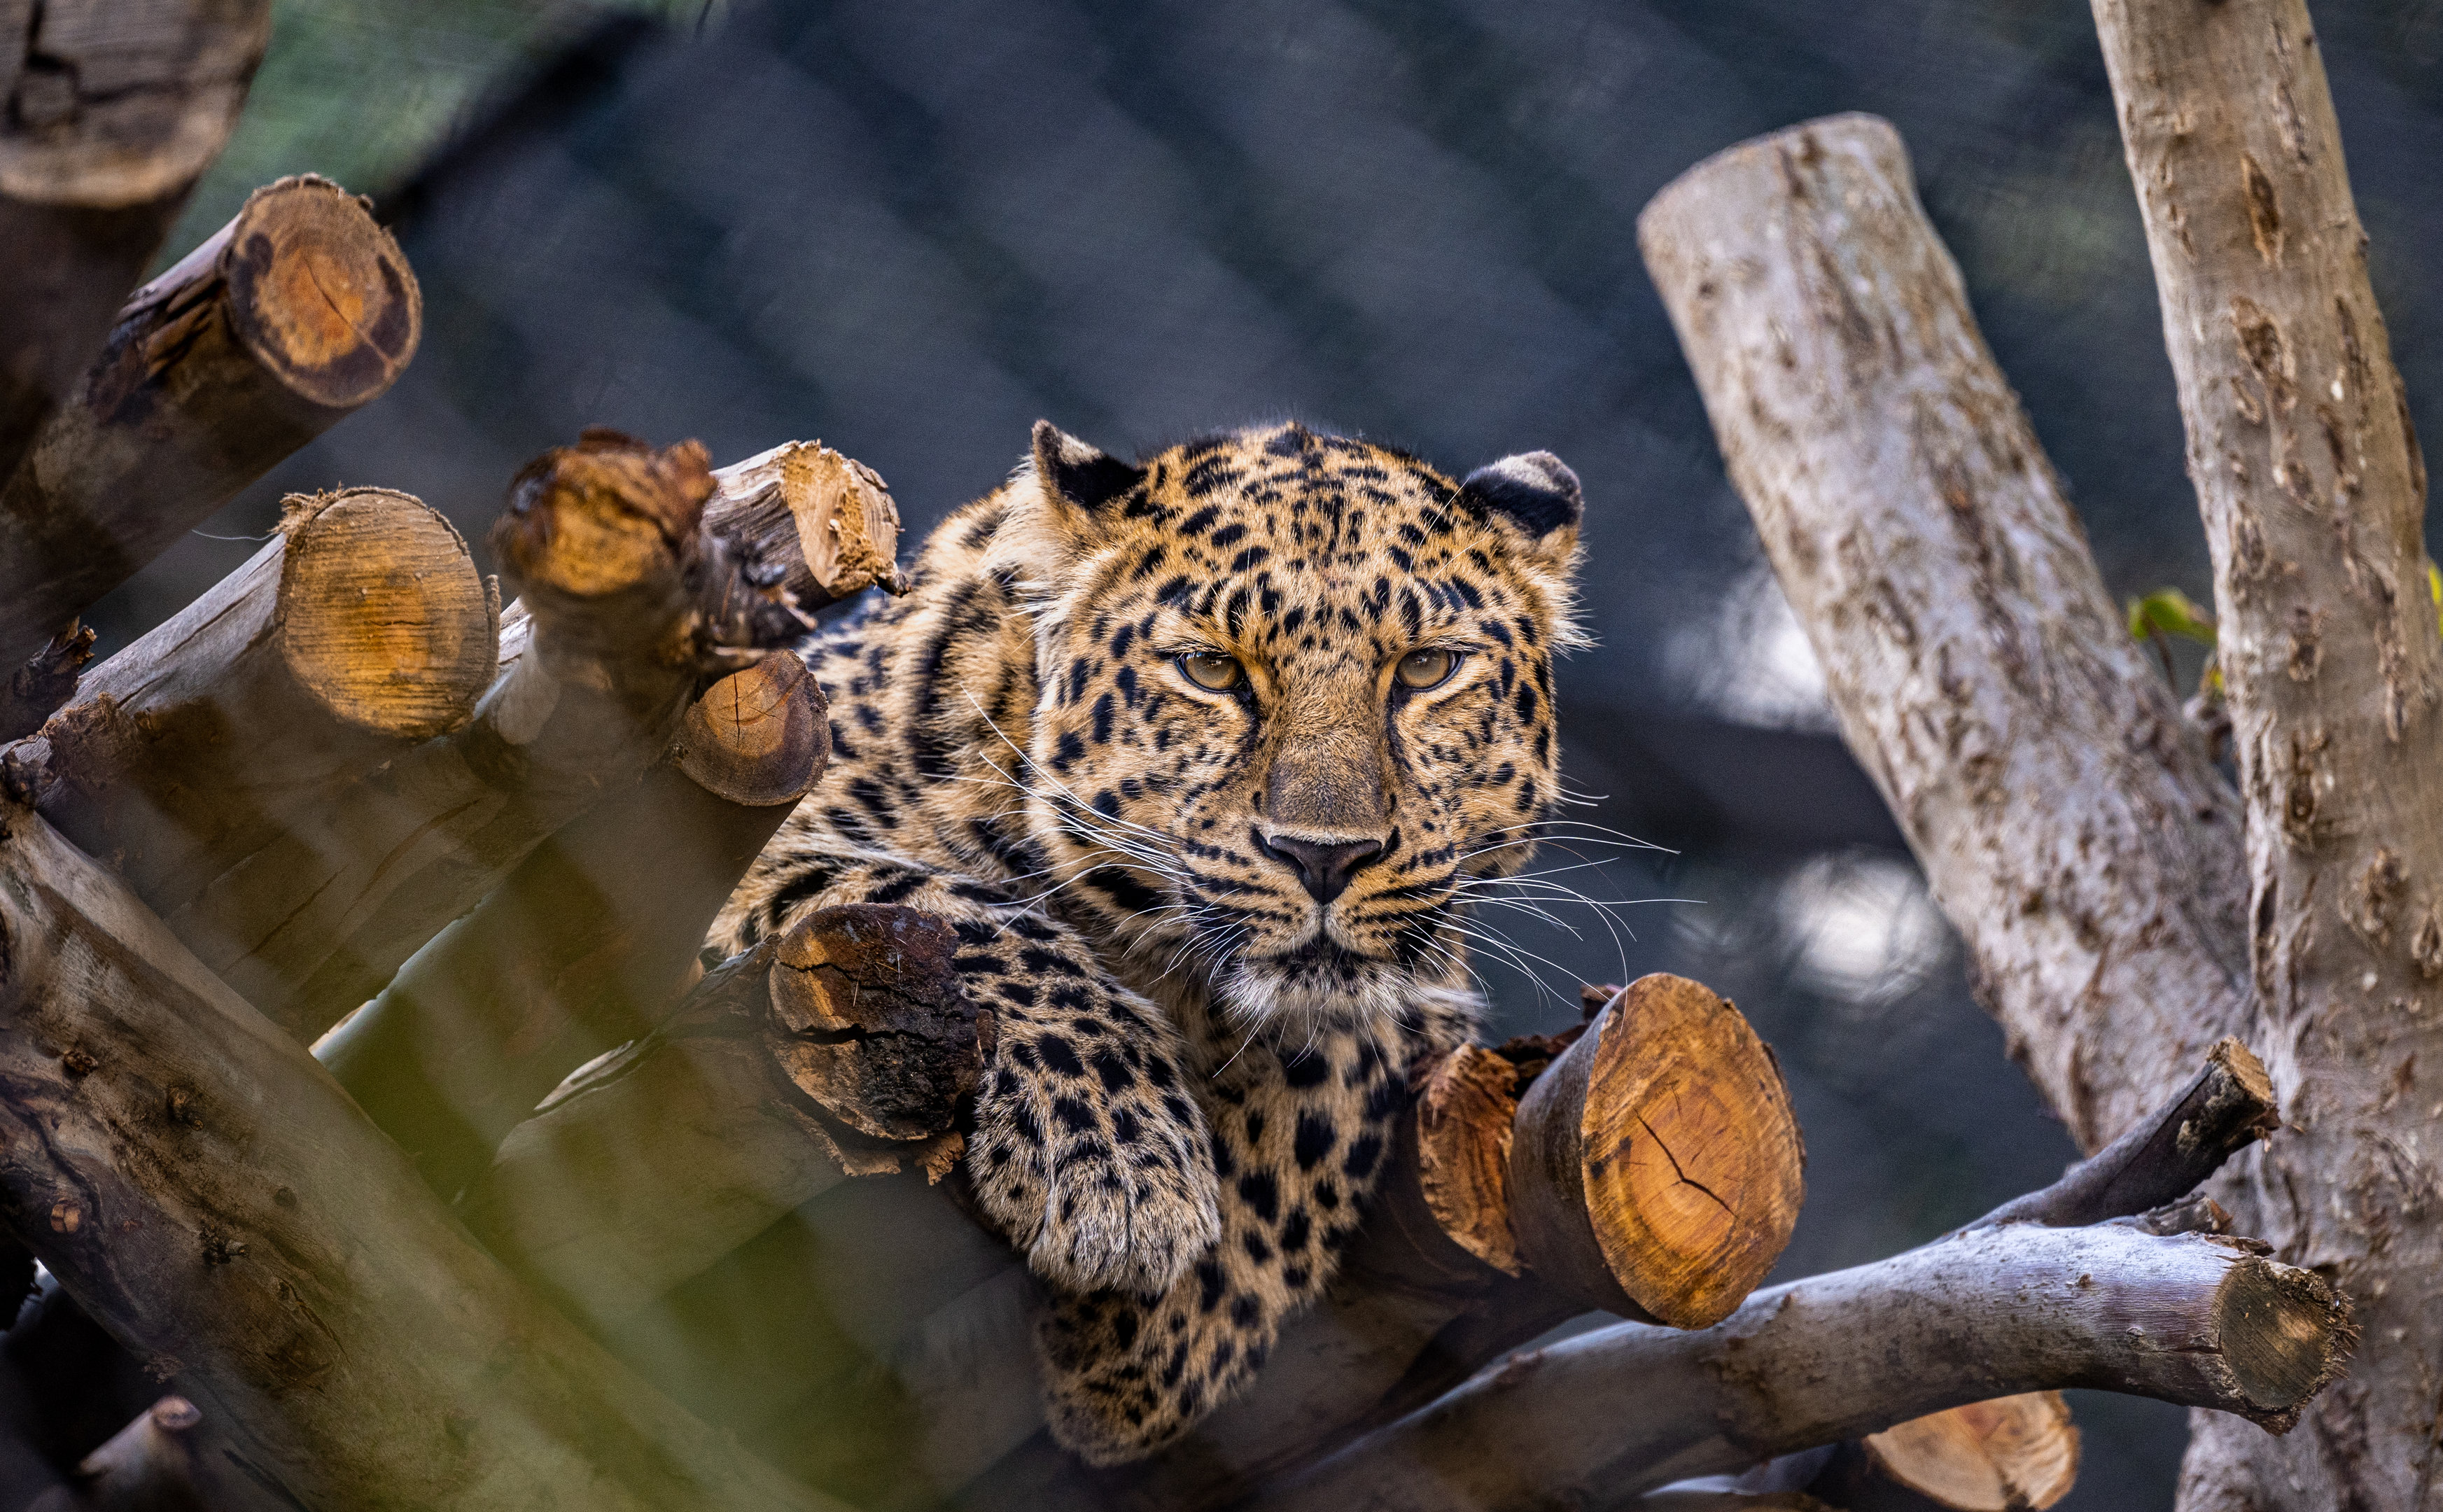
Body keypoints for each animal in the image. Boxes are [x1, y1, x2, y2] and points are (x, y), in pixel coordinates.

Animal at [710, 418, 1584, 1464]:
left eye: (1425, 669)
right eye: (1210, 670)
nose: (1324, 856)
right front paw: (1118, 1176)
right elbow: (950, 904)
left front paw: (1172, 1328)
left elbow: (1336, 1041)